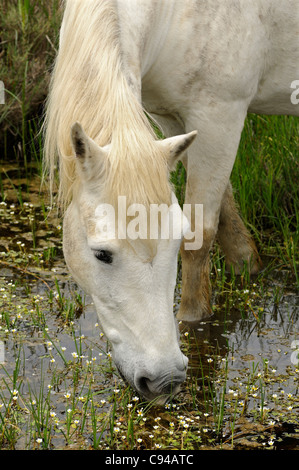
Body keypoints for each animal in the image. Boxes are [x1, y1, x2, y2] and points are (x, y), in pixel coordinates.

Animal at [43, 0, 298, 404]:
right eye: (101, 254)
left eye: (174, 243)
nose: (163, 380)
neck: (176, 12)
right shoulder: (172, 119)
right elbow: (226, 218)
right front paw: (249, 266)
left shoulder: (219, 117)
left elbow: (202, 236)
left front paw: (192, 322)